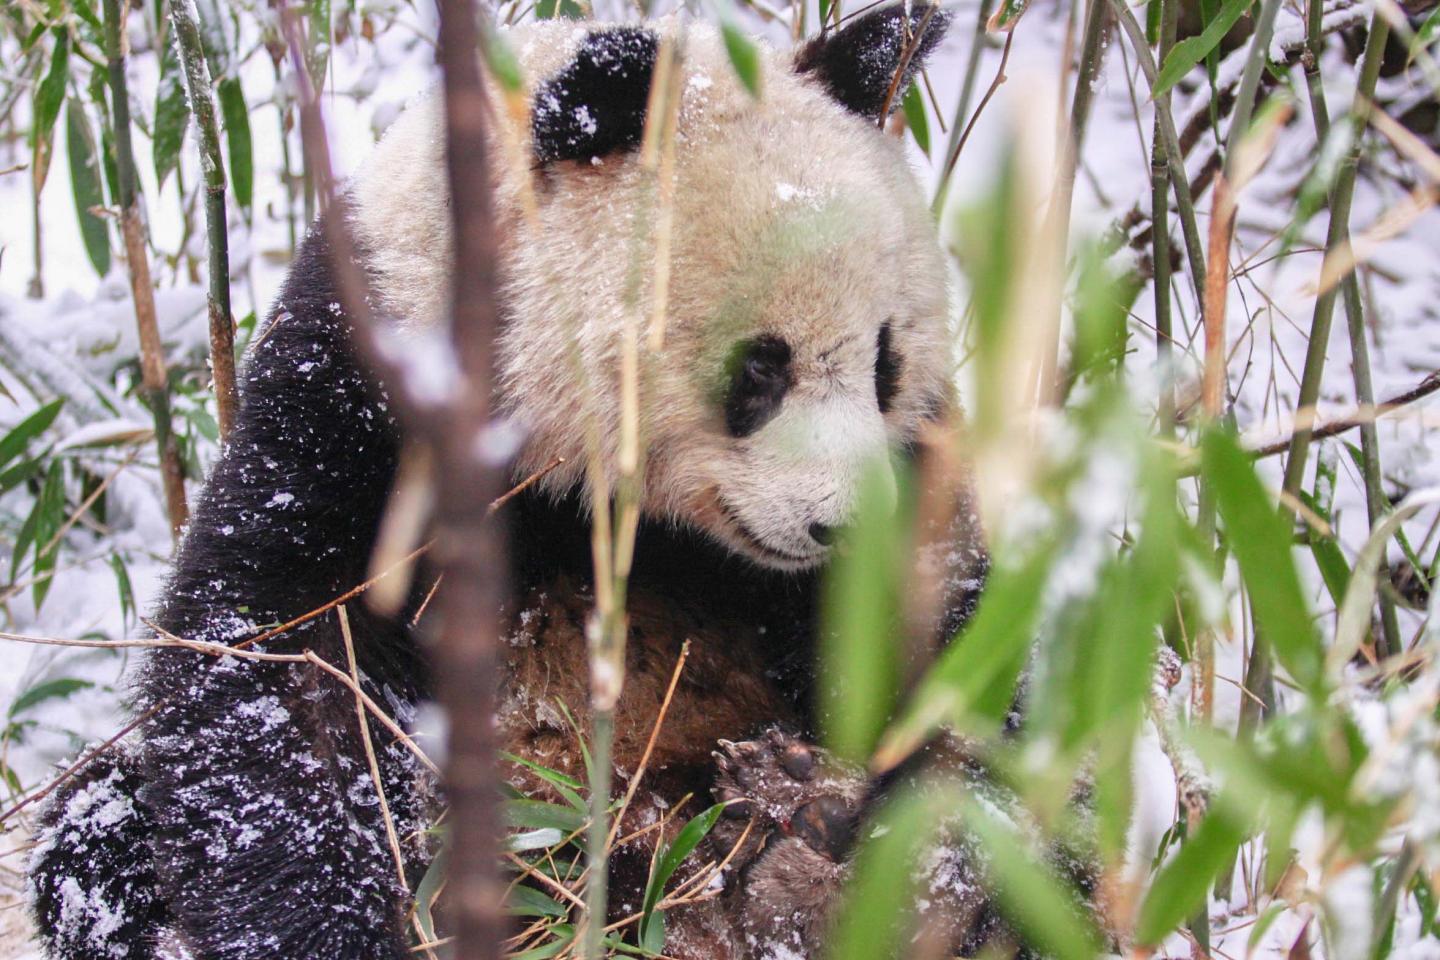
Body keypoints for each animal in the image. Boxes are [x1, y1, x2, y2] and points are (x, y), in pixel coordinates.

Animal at [28, 9, 1008, 960]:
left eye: (885, 361)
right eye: (760, 368)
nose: (845, 524)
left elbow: (947, 652)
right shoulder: (359, 385)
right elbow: (278, 654)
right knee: (93, 832)